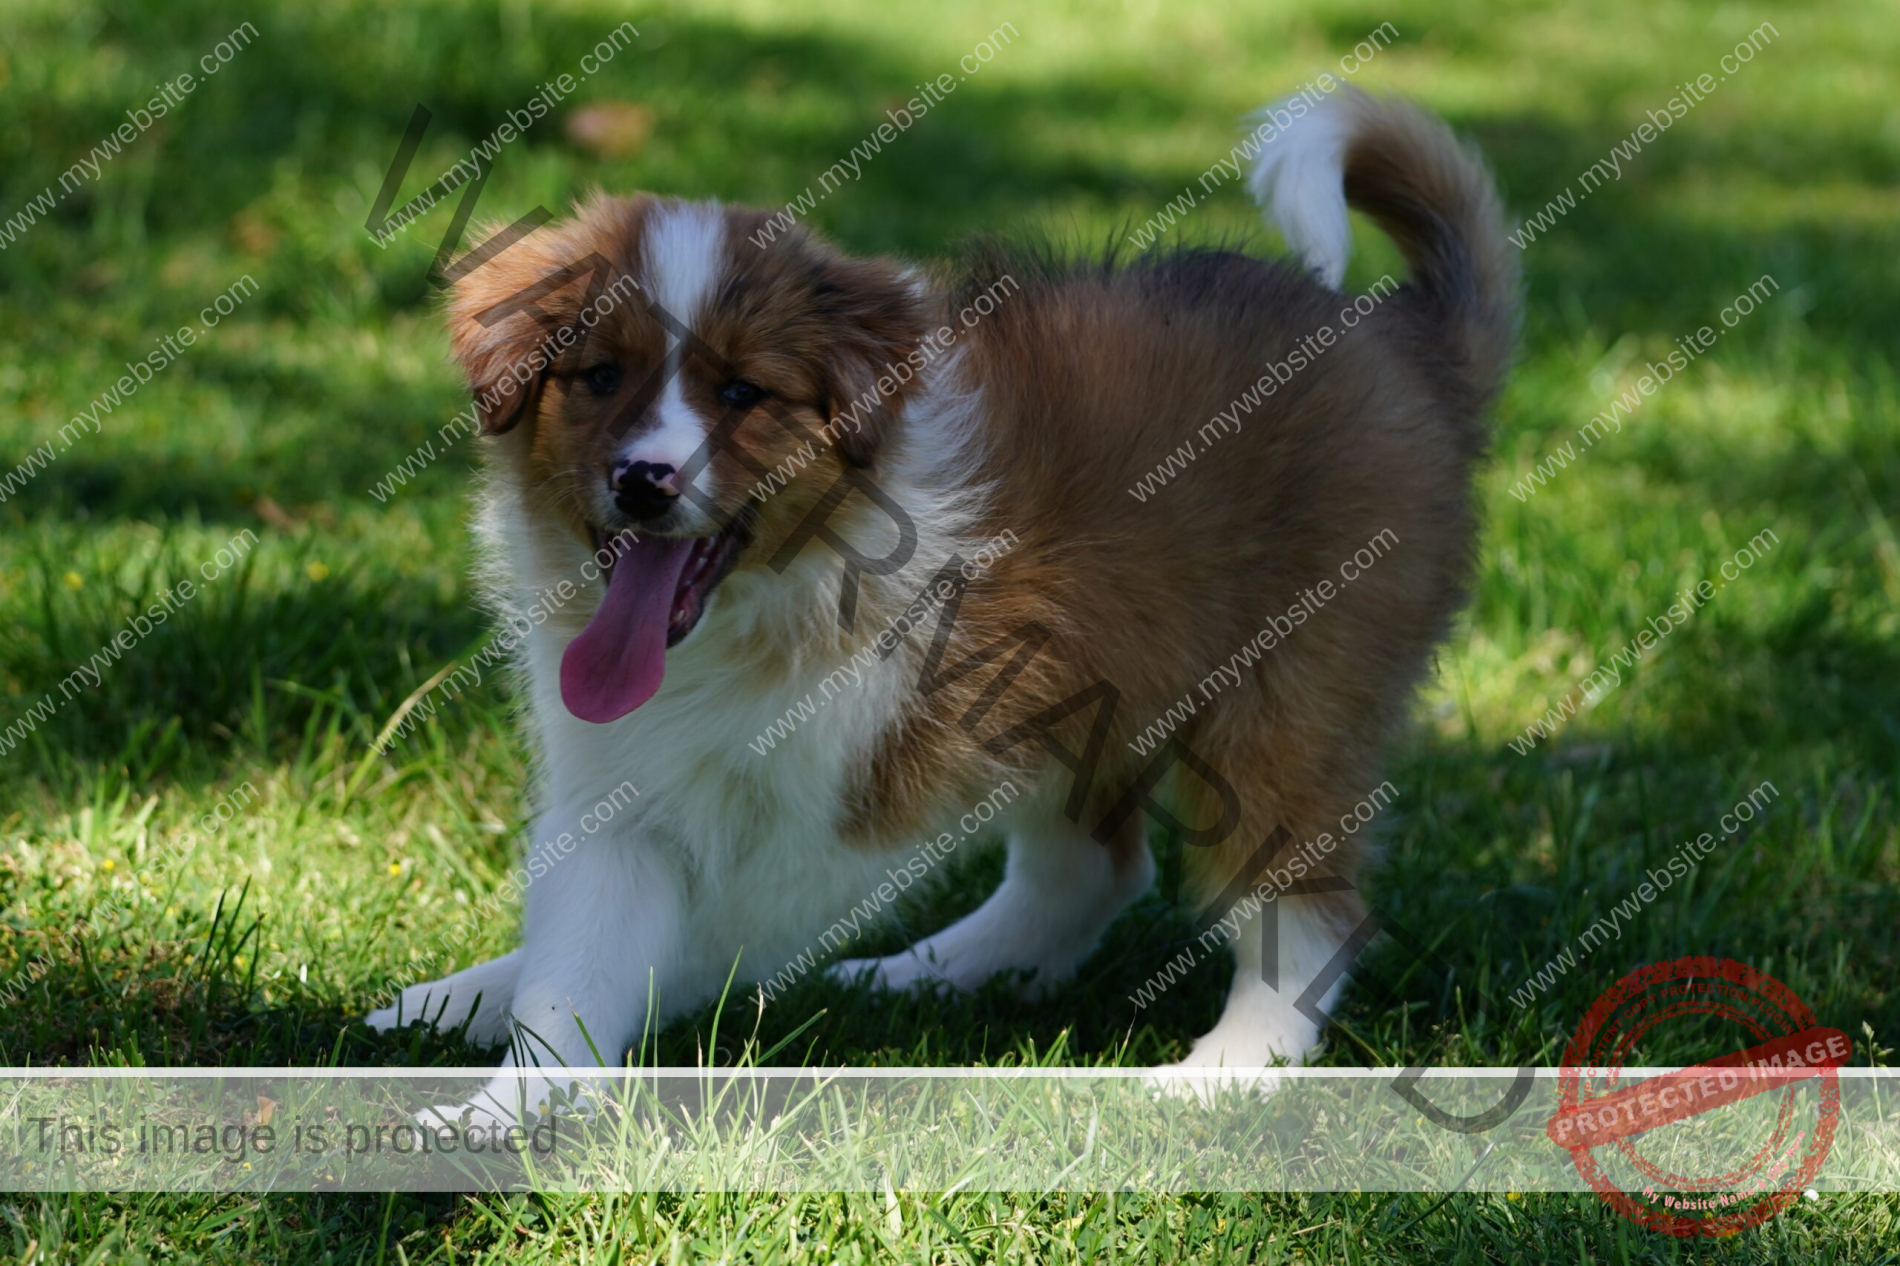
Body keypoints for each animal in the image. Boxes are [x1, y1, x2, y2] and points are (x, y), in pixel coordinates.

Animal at [370, 88, 1520, 1110]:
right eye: (600, 375)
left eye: (742, 393)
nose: (644, 481)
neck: (750, 615)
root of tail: (1403, 339)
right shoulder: (616, 784)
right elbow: (577, 955)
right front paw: (491, 1070)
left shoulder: (831, 803)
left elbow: (687, 934)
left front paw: (503, 1100)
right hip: (1089, 683)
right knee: (1091, 869)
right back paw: (927, 977)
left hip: (1292, 693)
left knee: (1306, 903)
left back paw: (1226, 1069)